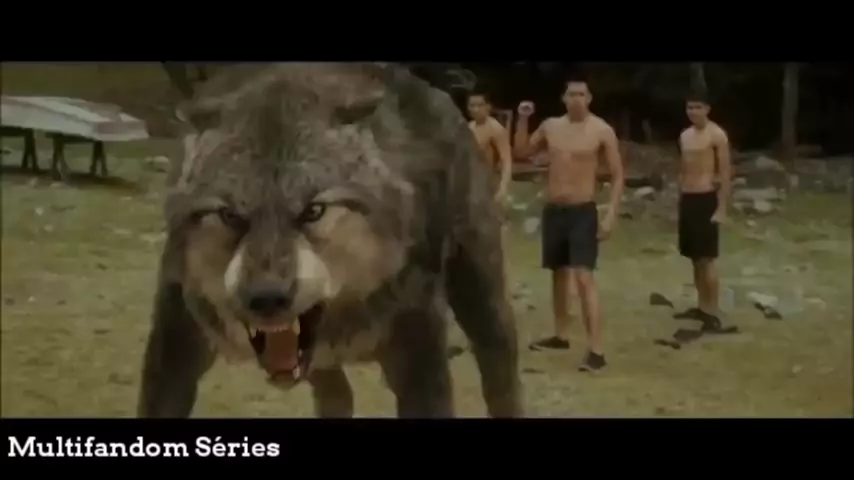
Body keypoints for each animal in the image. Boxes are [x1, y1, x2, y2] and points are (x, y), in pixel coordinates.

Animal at [137, 63, 522, 418]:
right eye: (231, 215)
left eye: (313, 211)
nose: (267, 298)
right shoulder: (175, 340)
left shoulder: (419, 351)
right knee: (338, 394)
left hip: (483, 301)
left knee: (501, 378)